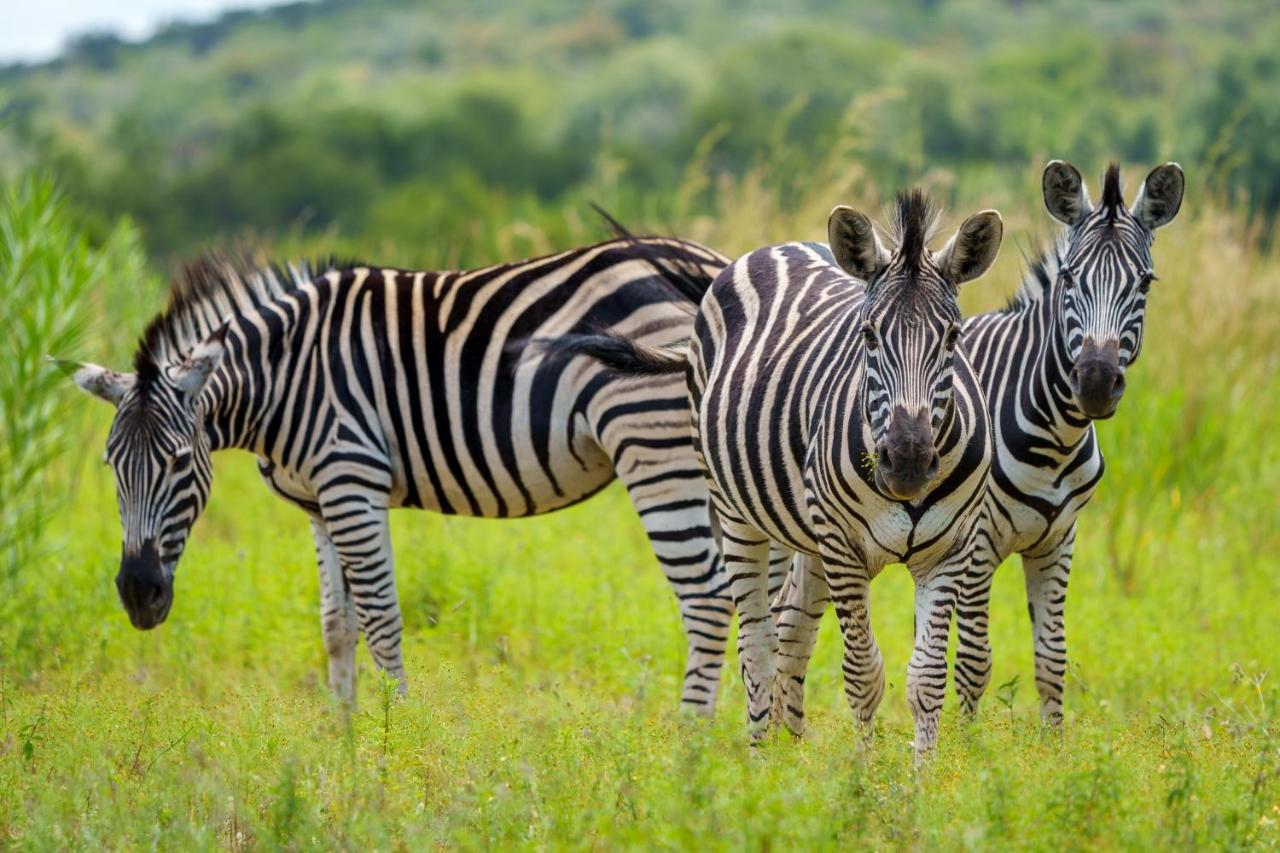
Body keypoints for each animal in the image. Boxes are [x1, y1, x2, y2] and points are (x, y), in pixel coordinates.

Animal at [60, 233, 747, 712]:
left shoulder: (351, 482)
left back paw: (690, 749)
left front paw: (395, 741)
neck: (285, 377)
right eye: (111, 468)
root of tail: (711, 264)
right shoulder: (319, 504)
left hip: (653, 447)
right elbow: (337, 627)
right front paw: (342, 741)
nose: (138, 596)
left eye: (179, 461)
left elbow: (383, 623)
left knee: (708, 599)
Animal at [555, 192, 1003, 753]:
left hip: (805, 533)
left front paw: (919, 776)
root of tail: (775, 248)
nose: (909, 461)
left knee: (791, 633)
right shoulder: (843, 547)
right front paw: (864, 772)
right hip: (738, 514)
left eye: (953, 337)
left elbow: (925, 679)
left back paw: (789, 749)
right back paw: (760, 757)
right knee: (757, 641)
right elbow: (863, 674)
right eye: (868, 335)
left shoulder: (948, 552)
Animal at [762, 159, 1182, 722]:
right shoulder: (979, 540)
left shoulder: (1059, 539)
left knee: (793, 622)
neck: (1056, 436)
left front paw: (1053, 740)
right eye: (1070, 278)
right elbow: (974, 661)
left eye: (1144, 283)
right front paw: (968, 741)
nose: (1095, 382)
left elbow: (1051, 658)